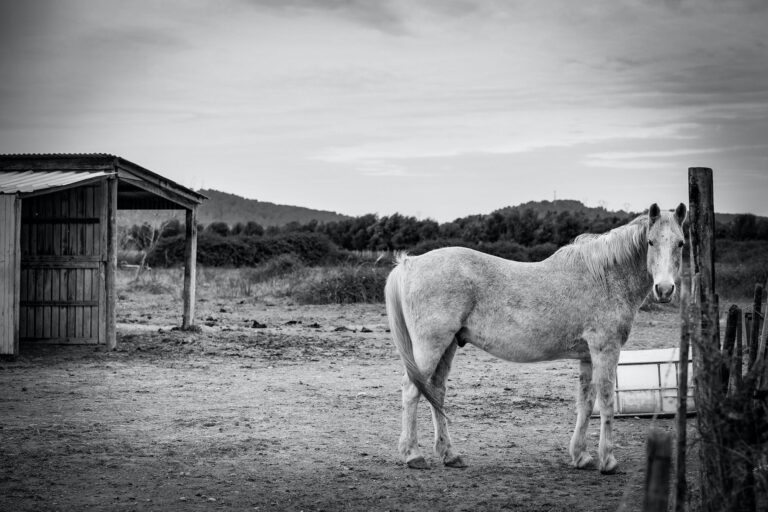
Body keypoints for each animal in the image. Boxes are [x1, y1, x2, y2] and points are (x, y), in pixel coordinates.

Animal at [388, 202, 688, 474]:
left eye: (681, 243)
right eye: (650, 242)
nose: (664, 289)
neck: (604, 277)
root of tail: (410, 263)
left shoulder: (587, 356)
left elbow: (586, 402)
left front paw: (581, 457)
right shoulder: (605, 349)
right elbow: (606, 401)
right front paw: (608, 461)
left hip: (448, 345)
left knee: (436, 391)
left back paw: (450, 455)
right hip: (431, 347)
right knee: (412, 390)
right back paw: (413, 455)